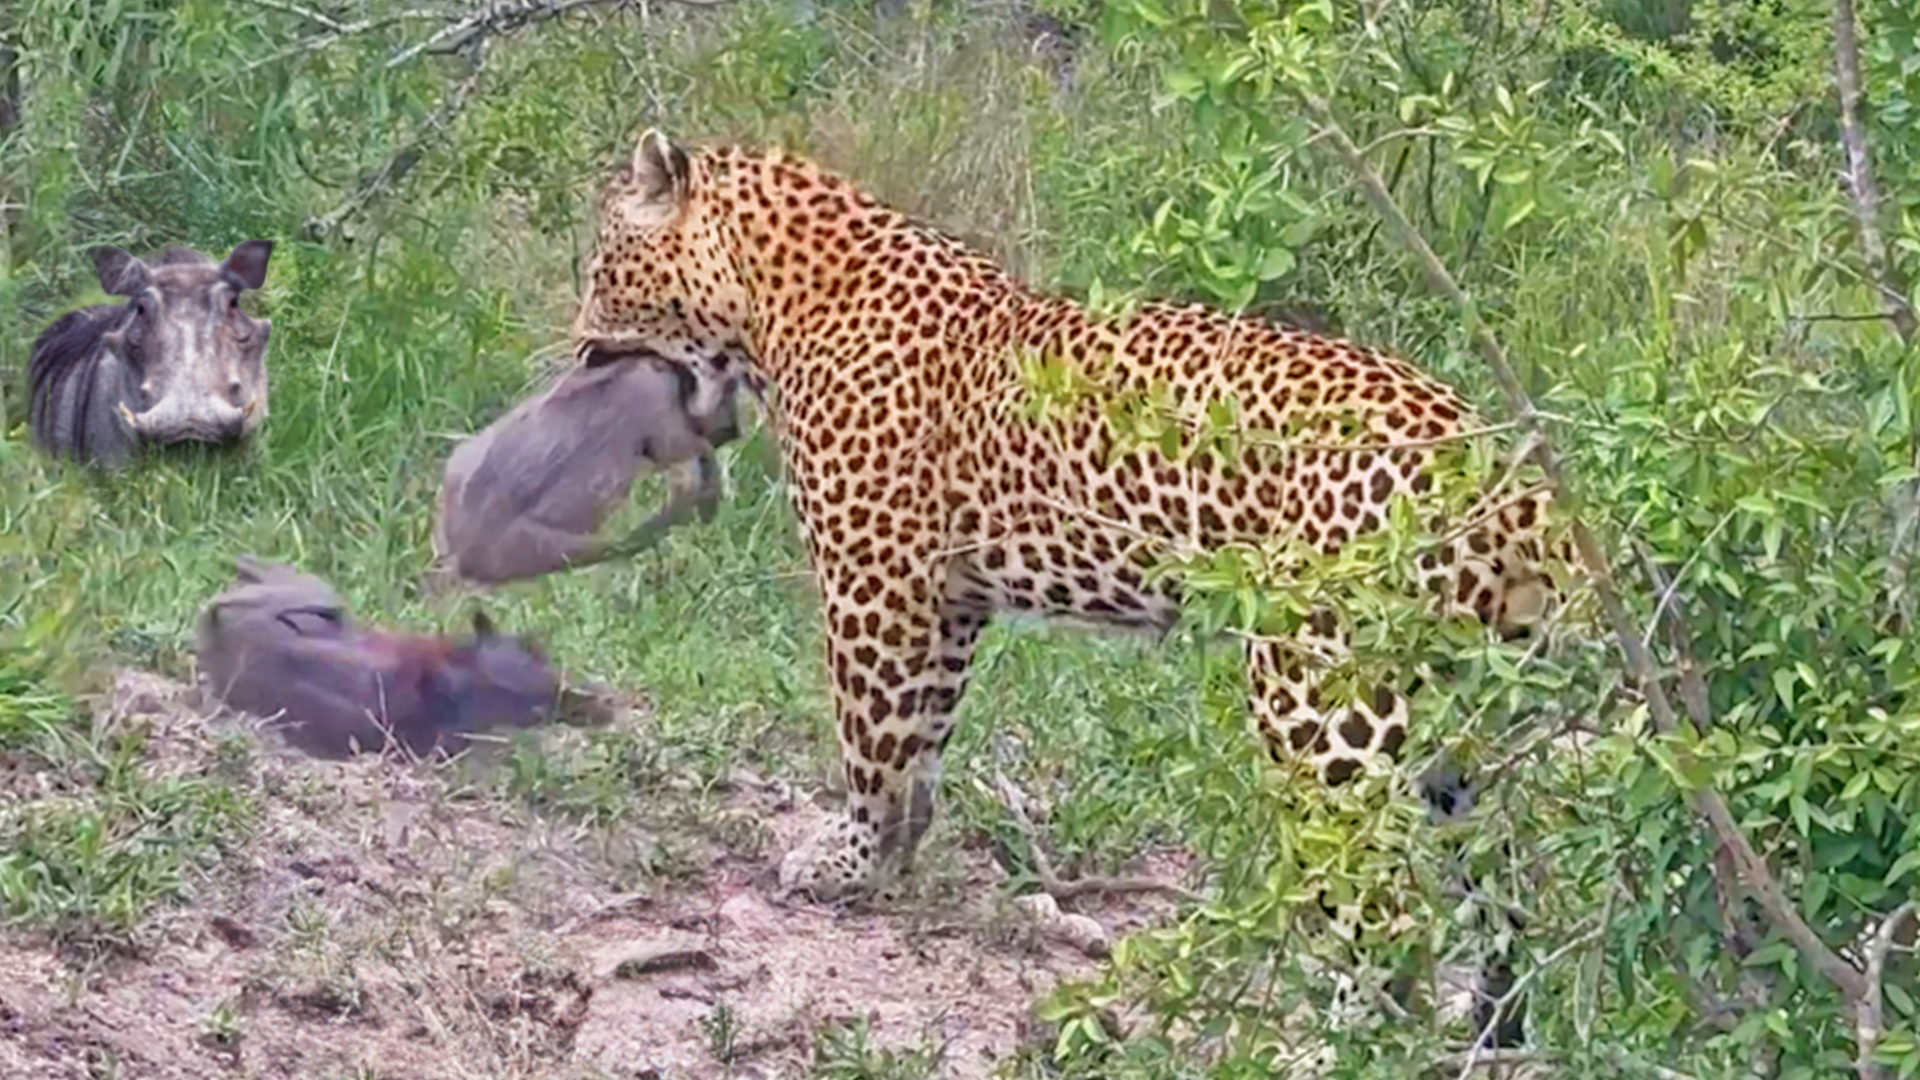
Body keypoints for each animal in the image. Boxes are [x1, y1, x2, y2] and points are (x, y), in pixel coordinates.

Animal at [572, 127, 1589, 1045]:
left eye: (602, 263)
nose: (576, 348)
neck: (779, 302)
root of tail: (1502, 466)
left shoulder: (876, 582)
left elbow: (869, 738)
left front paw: (845, 862)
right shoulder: (951, 601)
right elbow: (920, 743)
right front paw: (895, 860)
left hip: (1323, 701)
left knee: (1382, 907)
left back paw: (1341, 1042)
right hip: (1469, 705)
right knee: (1505, 883)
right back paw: (1497, 1029)